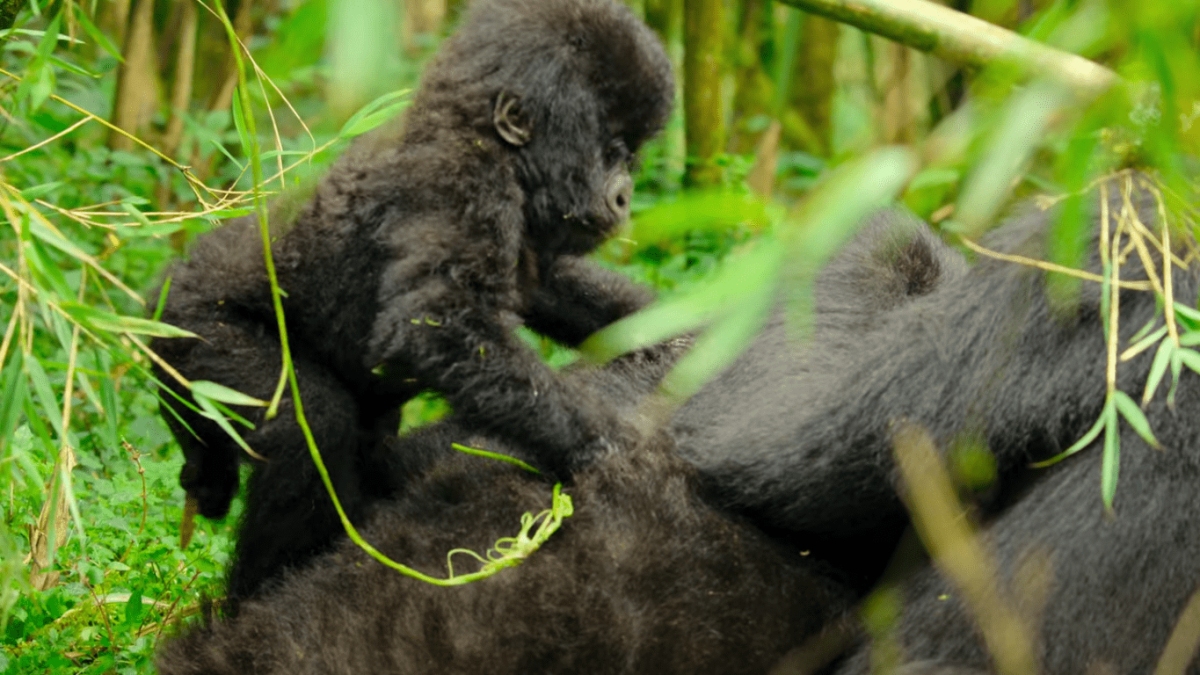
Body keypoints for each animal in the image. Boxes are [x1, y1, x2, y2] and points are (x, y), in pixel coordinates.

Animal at [151, 0, 676, 593]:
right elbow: (433, 324)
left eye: (629, 157)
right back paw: (252, 591)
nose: (624, 197)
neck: (479, 134)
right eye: (613, 152)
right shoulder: (457, 180)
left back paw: (203, 468)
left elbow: (549, 286)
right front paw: (605, 445)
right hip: (193, 330)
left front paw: (674, 326)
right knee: (309, 422)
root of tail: (161, 291)